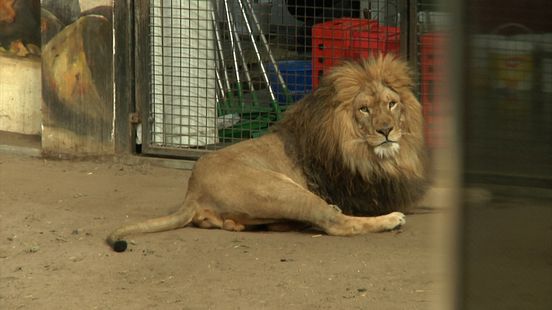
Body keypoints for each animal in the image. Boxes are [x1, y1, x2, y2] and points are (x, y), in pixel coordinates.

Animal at [106, 54, 426, 252]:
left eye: (392, 103)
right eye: (364, 109)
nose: (386, 131)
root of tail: (192, 193)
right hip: (284, 190)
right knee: (335, 224)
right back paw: (389, 219)